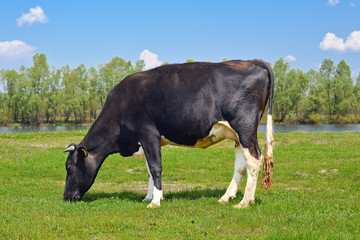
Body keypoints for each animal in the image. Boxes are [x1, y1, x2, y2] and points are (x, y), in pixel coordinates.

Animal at [63, 59, 274, 208]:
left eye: (69, 167)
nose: (65, 197)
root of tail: (252, 61)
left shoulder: (148, 134)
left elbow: (156, 167)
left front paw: (155, 201)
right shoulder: (146, 141)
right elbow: (149, 169)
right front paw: (148, 196)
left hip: (245, 127)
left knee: (254, 160)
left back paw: (245, 202)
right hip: (237, 135)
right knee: (240, 166)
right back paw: (226, 197)